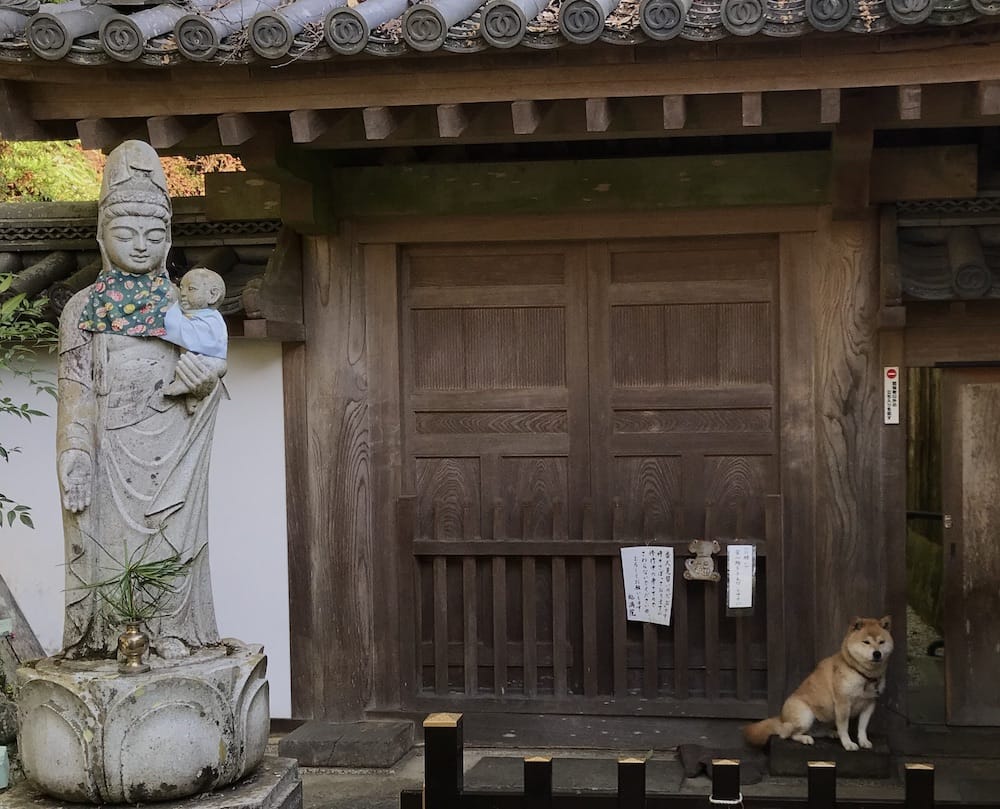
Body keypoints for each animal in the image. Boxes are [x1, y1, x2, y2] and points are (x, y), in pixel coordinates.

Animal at [744, 616, 893, 752]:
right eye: (866, 642)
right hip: (806, 716)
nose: (877, 653)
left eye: (881, 642)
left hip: (826, 718)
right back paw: (805, 738)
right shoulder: (843, 703)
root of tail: (781, 719)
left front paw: (863, 741)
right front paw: (848, 743)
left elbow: (862, 727)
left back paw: (831, 733)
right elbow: (844, 728)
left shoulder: (869, 704)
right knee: (789, 734)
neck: (863, 675)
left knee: (815, 731)